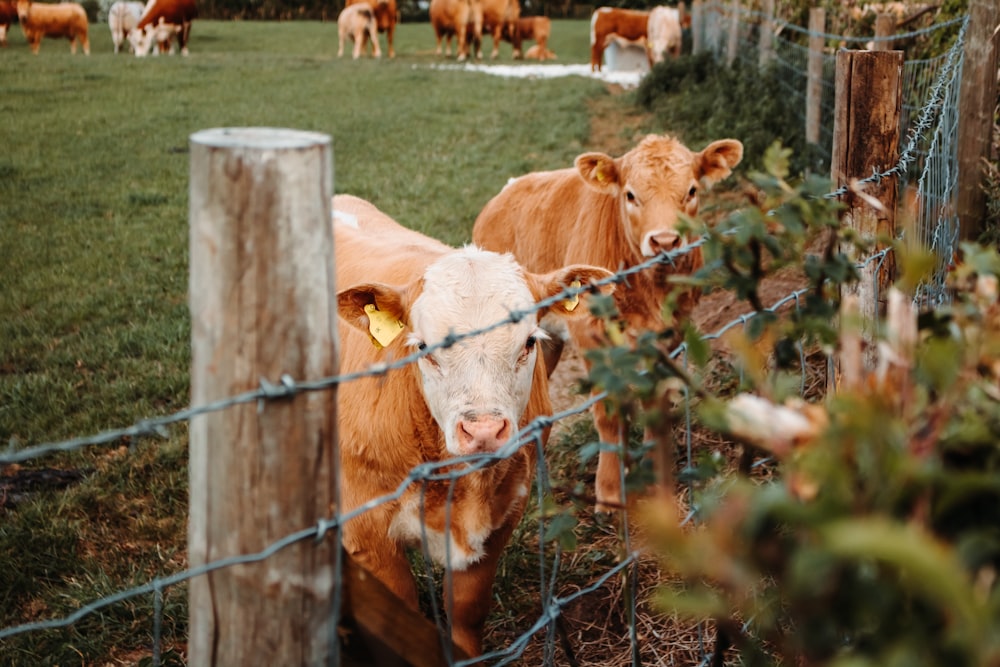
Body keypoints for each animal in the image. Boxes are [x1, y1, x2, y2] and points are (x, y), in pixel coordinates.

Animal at [332, 196, 608, 660]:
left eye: (529, 342)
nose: (483, 431)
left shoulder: (506, 510)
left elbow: (467, 610)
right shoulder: (369, 536)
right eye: (424, 348)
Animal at [470, 133, 744, 516]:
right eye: (630, 195)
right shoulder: (590, 336)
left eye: (691, 191)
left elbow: (652, 402)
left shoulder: (671, 334)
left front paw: (650, 471)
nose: (664, 242)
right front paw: (610, 493)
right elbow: (609, 412)